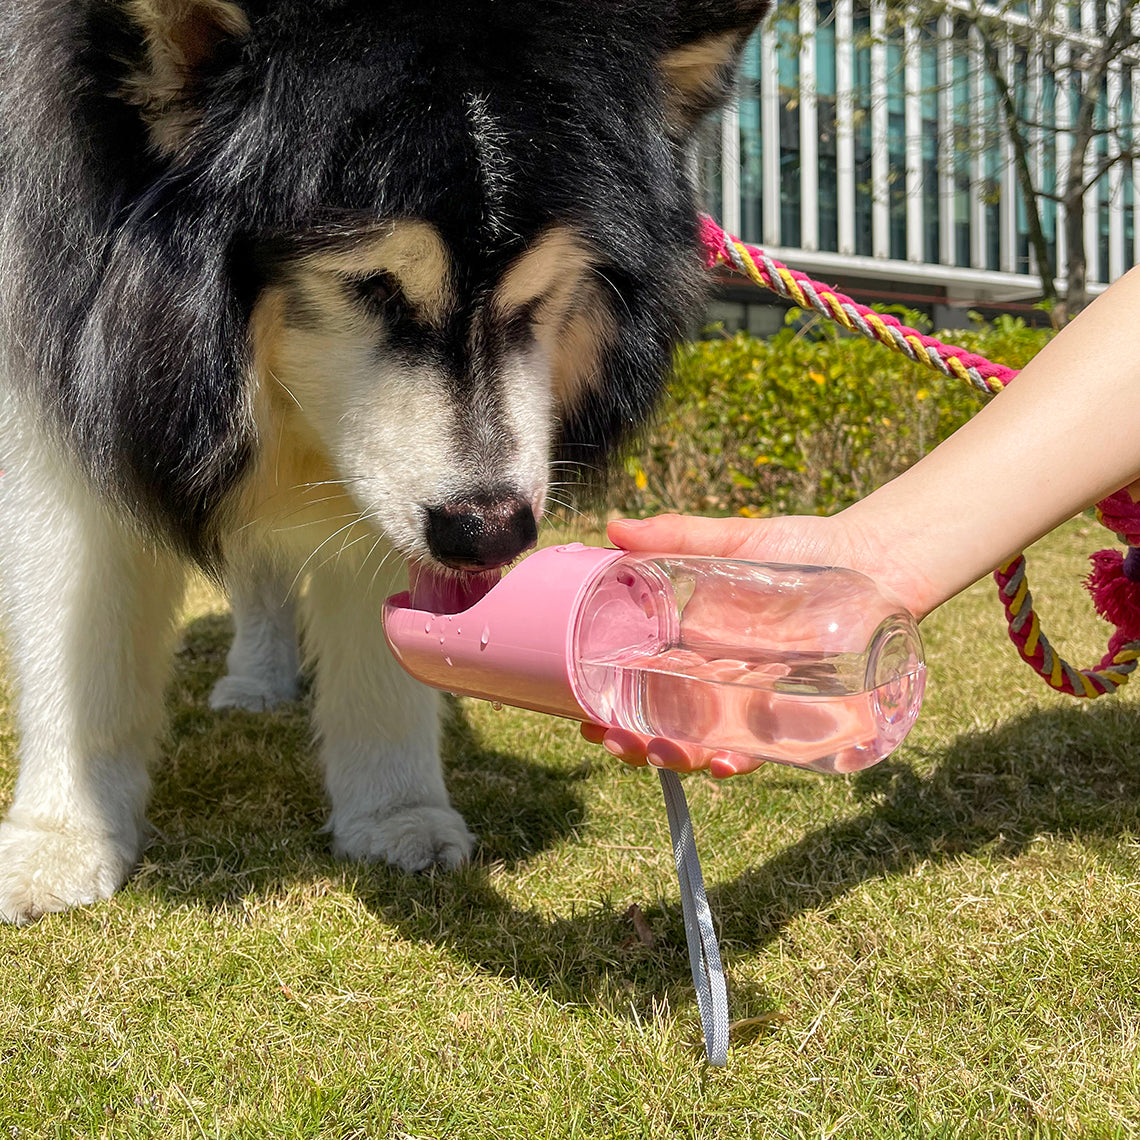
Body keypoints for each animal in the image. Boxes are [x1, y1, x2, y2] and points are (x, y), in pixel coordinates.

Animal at [0, 0, 770, 921]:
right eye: (372, 286)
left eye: (540, 297)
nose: (489, 534)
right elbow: (80, 639)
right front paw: (60, 838)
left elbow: (387, 647)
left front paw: (396, 814)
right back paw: (255, 681)